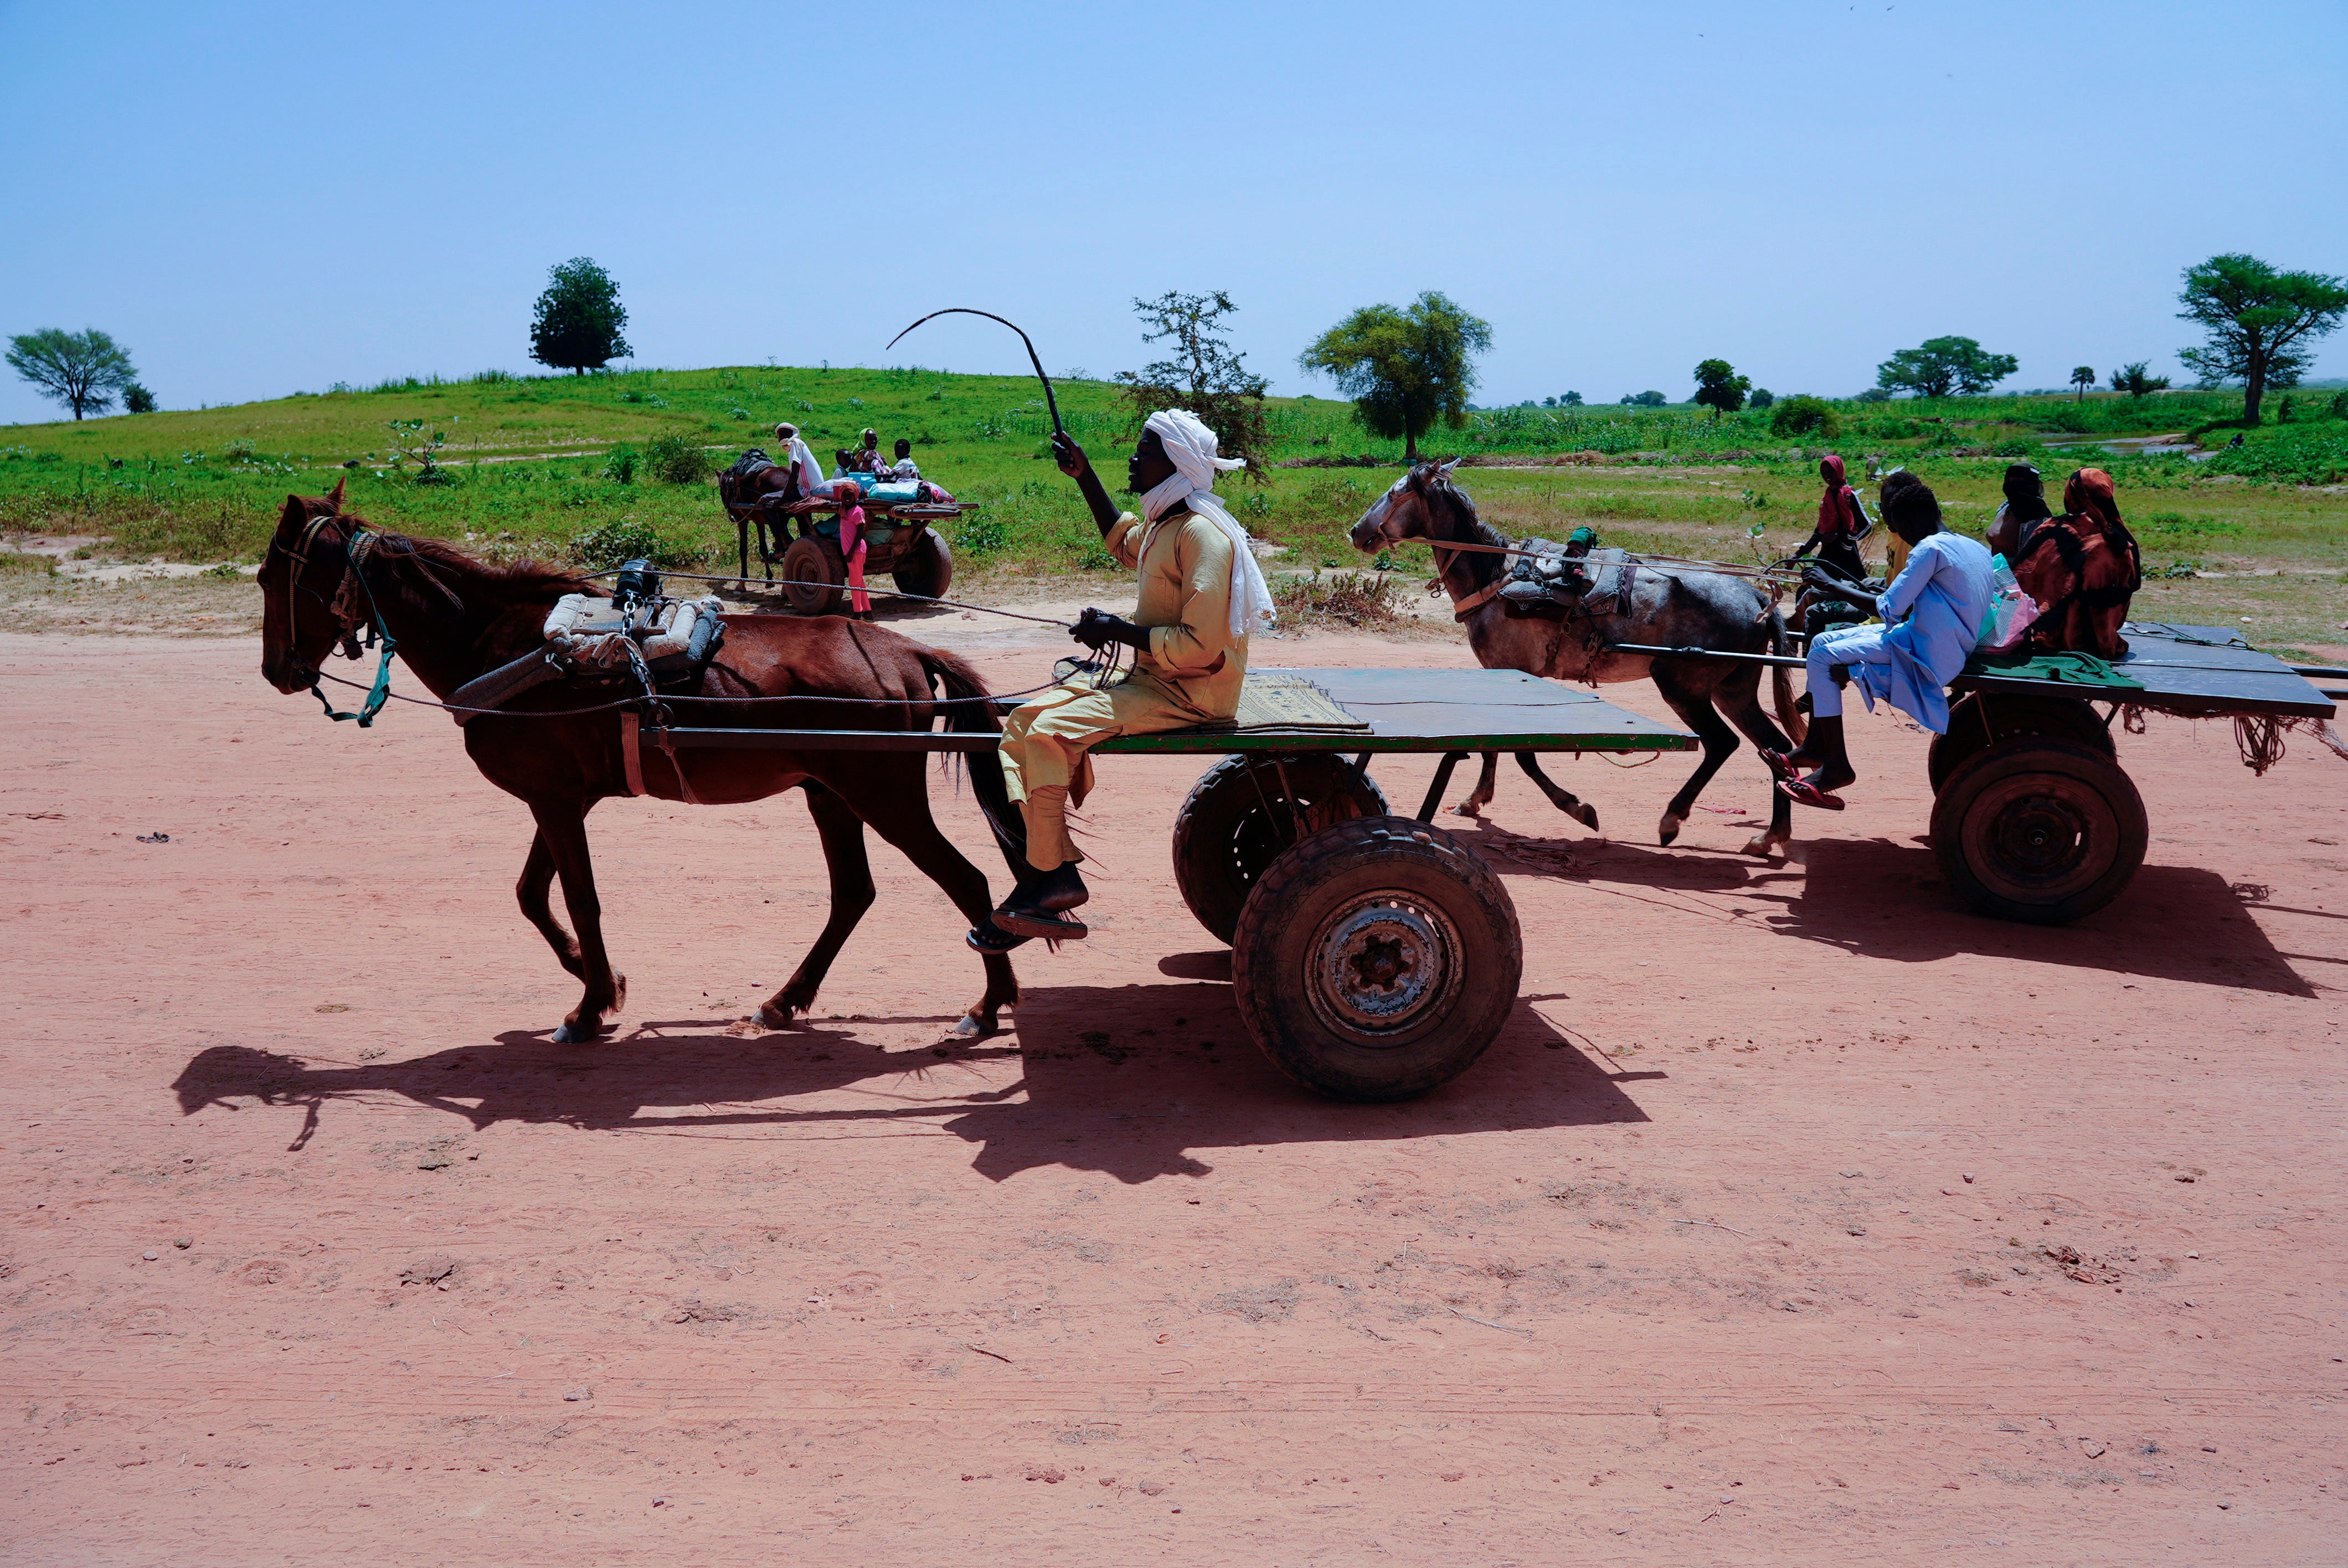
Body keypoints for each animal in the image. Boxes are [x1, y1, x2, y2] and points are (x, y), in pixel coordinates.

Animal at [259, 478, 1028, 1042]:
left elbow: (579, 898)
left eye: (271, 577)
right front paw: (594, 980)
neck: (500, 645)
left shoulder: (556, 802)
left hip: (882, 794)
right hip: (829, 793)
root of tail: (907, 649)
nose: (277, 671)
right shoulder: (557, 796)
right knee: (853, 894)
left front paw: (589, 1005)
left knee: (966, 881)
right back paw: (786, 999)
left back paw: (990, 1004)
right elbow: (532, 894)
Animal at [1352, 462, 1803, 859]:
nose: (1357, 532)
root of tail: (1757, 597)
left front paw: (1575, 807)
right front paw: (1476, 799)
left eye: (1395, 494)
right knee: (1776, 748)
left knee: (1722, 744)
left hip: (1683, 687)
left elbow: (1521, 755)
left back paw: (1674, 818)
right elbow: (1492, 748)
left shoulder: (1515, 674)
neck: (1497, 576)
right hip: (1734, 690)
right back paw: (1770, 836)